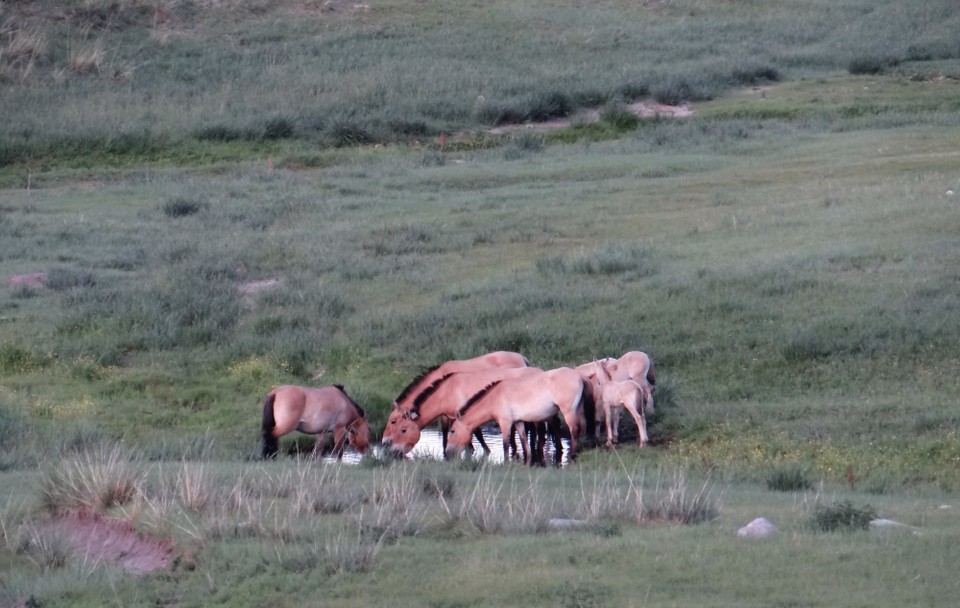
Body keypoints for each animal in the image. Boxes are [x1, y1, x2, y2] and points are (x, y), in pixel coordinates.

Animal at [380, 350, 528, 454]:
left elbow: (476, 433)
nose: (384, 442)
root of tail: (523, 359)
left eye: (393, 421)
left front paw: (482, 450)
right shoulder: (447, 415)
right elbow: (446, 431)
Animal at [446, 366, 588, 466]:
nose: (447, 453)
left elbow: (506, 444)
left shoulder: (505, 423)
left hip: (568, 411)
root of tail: (578, 376)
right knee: (582, 429)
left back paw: (572, 455)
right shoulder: (518, 422)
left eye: (452, 431)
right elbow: (523, 439)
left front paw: (506, 462)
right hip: (578, 410)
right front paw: (528, 459)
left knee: (574, 430)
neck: (495, 397)